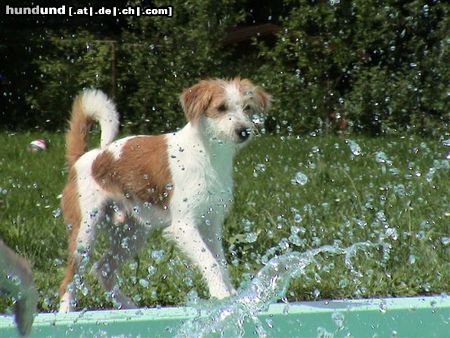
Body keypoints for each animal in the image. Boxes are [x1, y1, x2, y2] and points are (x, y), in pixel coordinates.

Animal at [59, 78, 270, 312]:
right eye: (221, 108)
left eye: (247, 108)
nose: (244, 131)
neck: (207, 154)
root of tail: (85, 158)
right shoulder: (184, 226)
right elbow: (210, 262)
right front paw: (221, 295)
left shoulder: (210, 224)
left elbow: (220, 261)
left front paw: (231, 295)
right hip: (84, 234)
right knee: (69, 279)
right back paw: (65, 313)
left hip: (131, 235)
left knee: (102, 269)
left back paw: (130, 307)